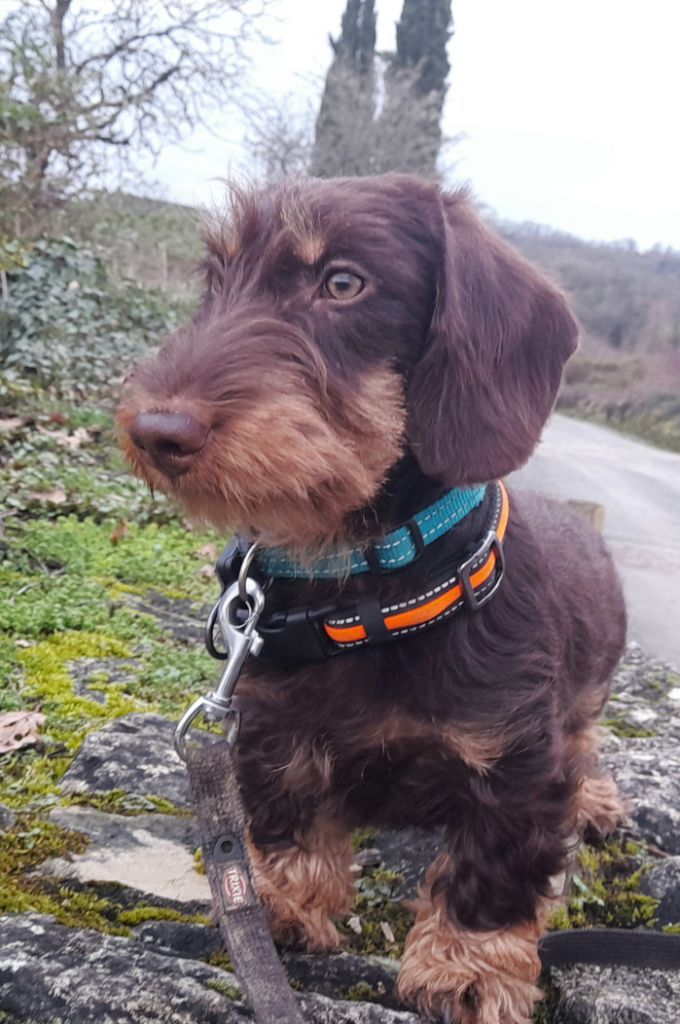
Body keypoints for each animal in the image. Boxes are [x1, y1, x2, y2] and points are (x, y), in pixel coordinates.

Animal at [118, 174, 627, 1024]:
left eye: (344, 283)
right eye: (215, 281)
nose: (156, 431)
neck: (372, 590)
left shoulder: (518, 764)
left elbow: (493, 871)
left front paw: (467, 968)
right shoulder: (273, 732)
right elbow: (288, 825)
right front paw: (282, 905)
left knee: (585, 742)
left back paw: (595, 799)